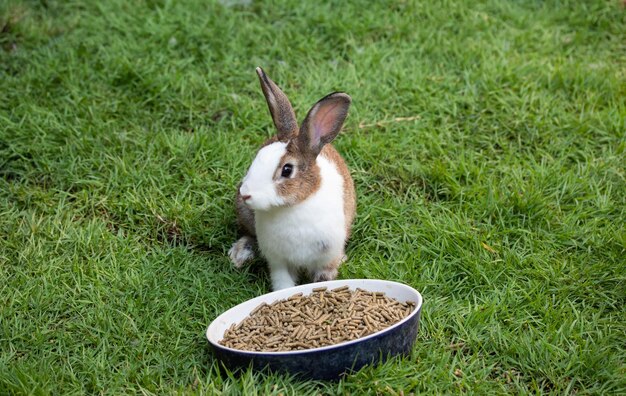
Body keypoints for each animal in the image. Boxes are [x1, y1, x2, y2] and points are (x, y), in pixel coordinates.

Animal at [228, 67, 356, 290]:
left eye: (287, 170)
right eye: (256, 158)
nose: (245, 194)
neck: (292, 207)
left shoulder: (326, 256)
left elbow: (324, 276)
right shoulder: (278, 260)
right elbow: (283, 282)